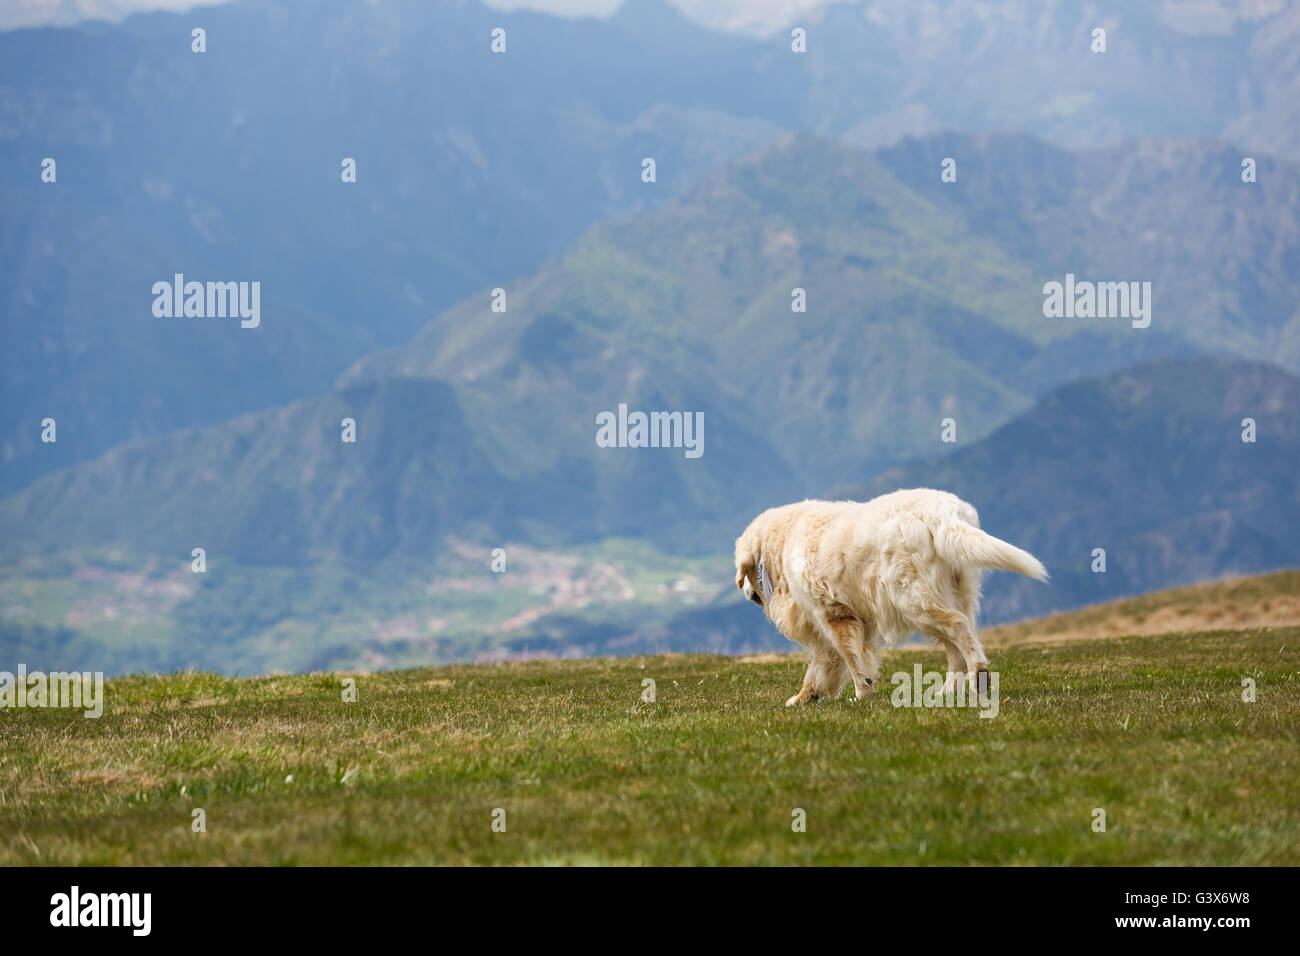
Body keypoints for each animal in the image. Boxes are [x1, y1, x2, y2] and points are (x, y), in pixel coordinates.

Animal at [733, 489, 1045, 707]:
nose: (747, 593)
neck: (782, 544)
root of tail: (942, 511)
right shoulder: (827, 623)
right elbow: (822, 665)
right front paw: (805, 696)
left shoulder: (834, 615)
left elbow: (851, 658)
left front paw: (863, 692)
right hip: (953, 593)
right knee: (957, 641)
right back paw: (946, 691)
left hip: (914, 600)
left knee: (958, 628)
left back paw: (979, 676)